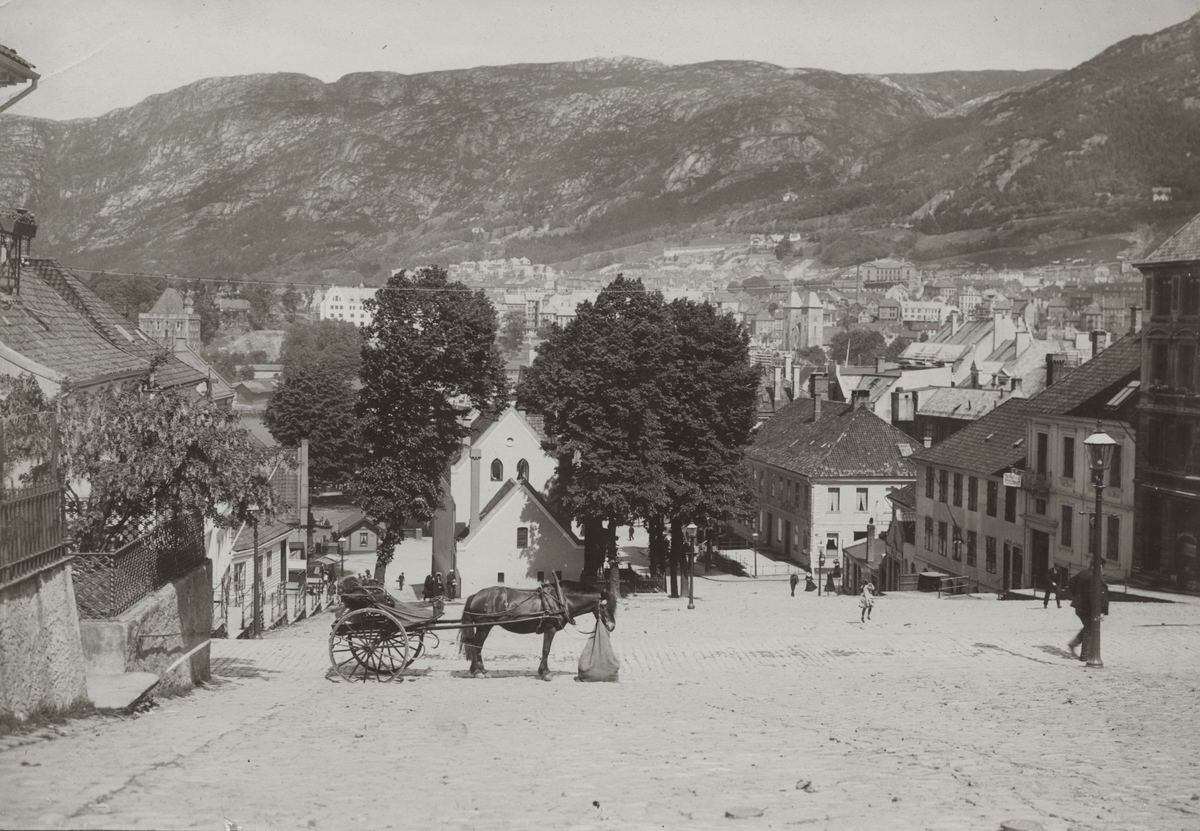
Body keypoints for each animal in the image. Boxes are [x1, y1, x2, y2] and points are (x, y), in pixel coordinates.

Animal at [453, 581, 614, 677]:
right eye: (605, 607)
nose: (612, 626)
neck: (560, 601)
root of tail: (476, 595)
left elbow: (545, 650)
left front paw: (542, 671)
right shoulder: (550, 628)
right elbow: (546, 649)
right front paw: (545, 672)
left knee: (475, 646)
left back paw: (478, 670)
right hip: (484, 627)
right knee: (476, 645)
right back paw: (477, 671)